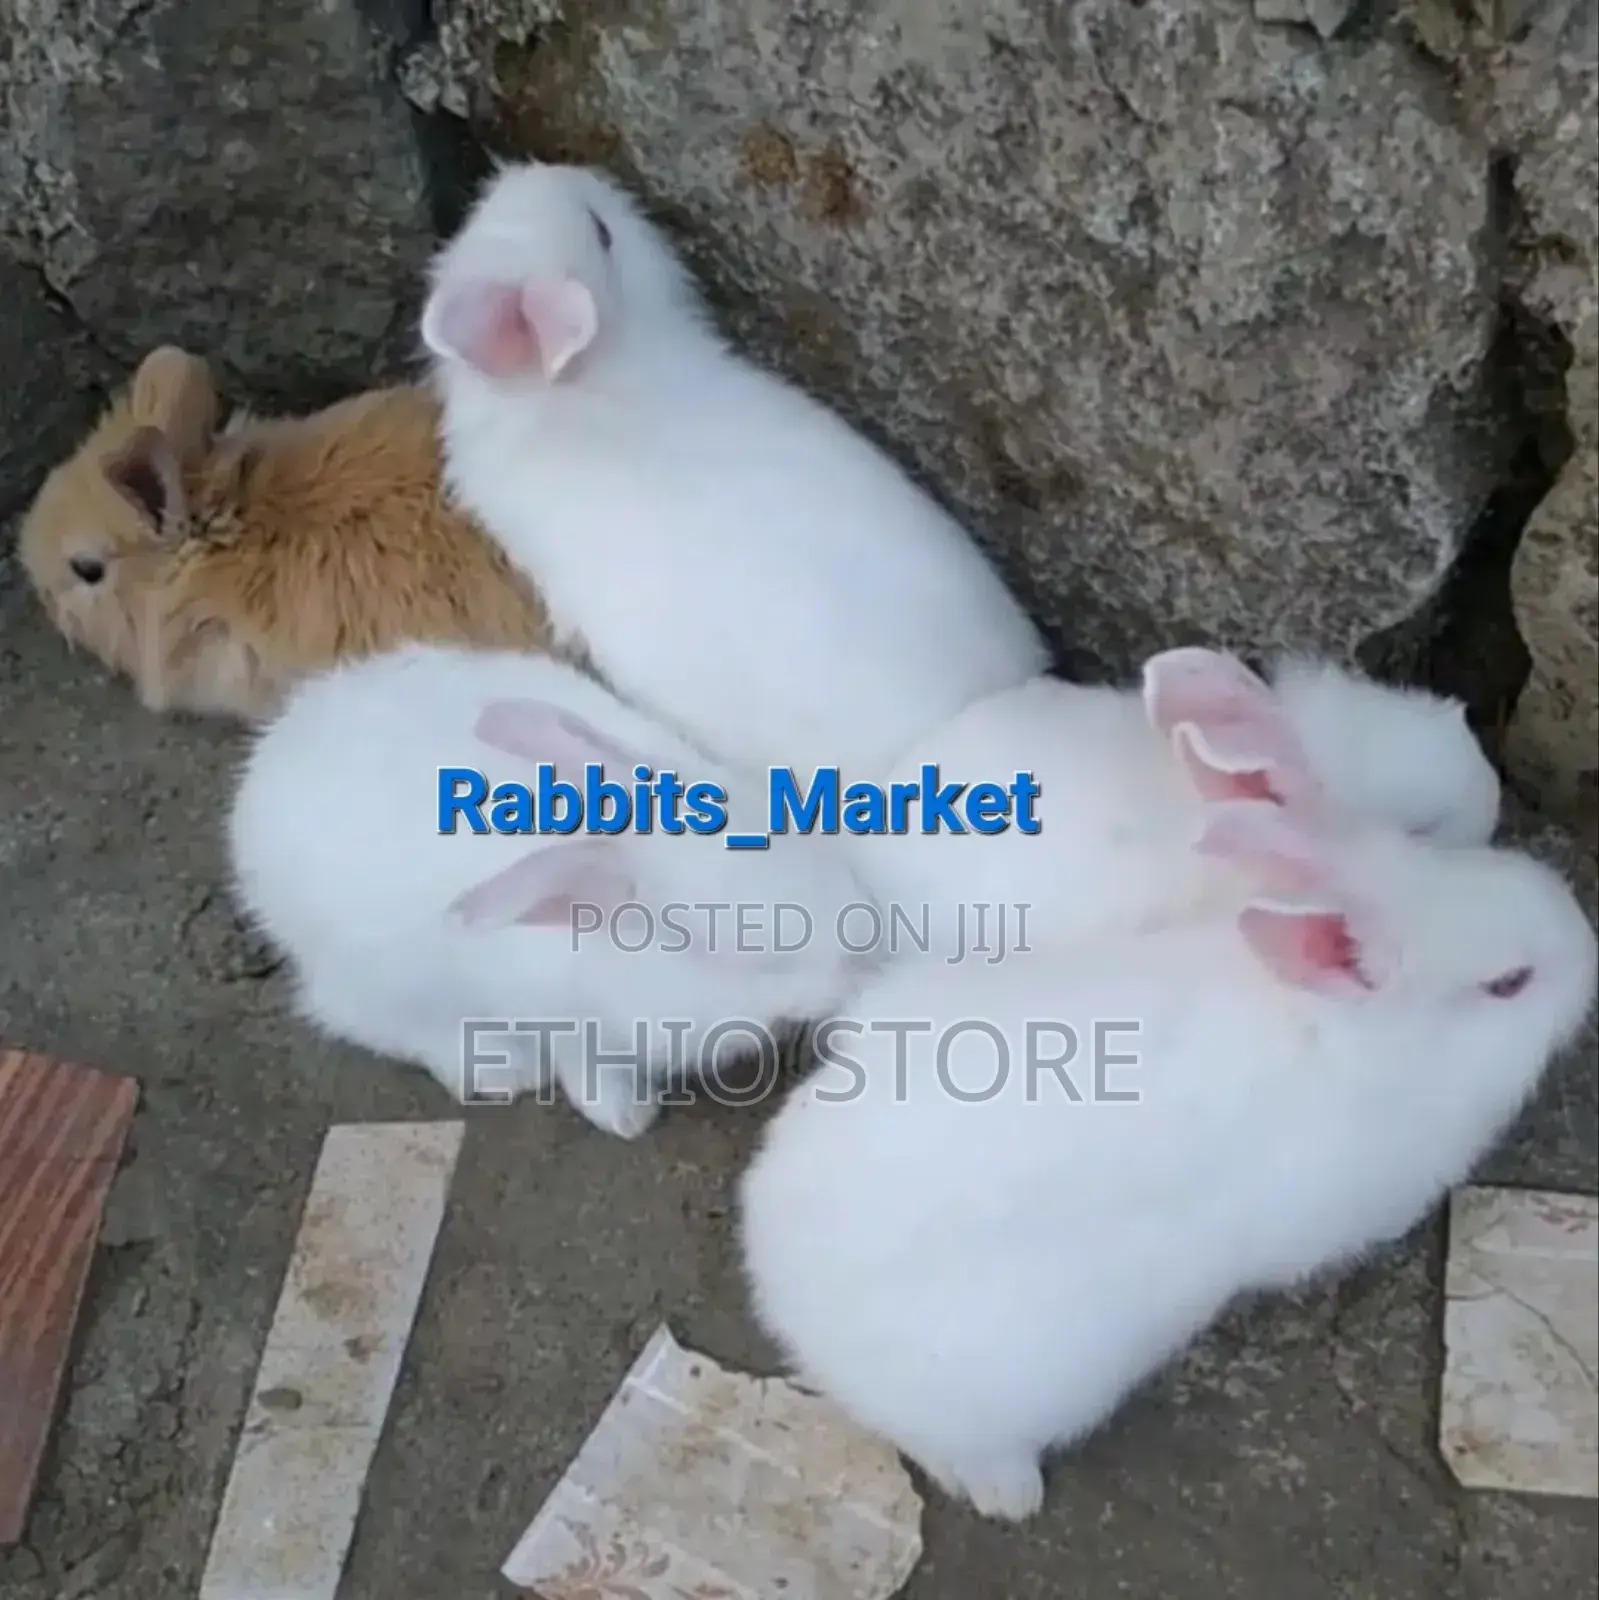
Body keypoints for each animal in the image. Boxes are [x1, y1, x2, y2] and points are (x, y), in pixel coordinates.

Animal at [227, 640, 879, 1139]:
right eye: (754, 952)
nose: (860, 954)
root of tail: (269, 764)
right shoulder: (562, 1018)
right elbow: (588, 1071)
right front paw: (628, 1117)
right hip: (379, 973)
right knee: (353, 1015)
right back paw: (499, 1069)